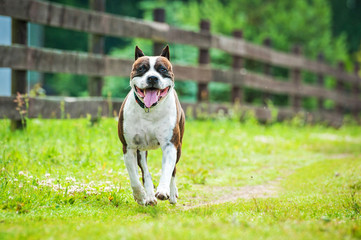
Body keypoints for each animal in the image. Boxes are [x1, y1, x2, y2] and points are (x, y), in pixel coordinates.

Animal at [118, 46, 184, 205]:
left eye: (163, 69)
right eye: (142, 68)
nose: (152, 78)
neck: (149, 110)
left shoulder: (170, 145)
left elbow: (167, 170)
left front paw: (163, 191)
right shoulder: (129, 147)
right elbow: (134, 177)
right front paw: (140, 195)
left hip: (178, 147)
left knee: (173, 170)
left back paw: (172, 194)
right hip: (141, 150)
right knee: (145, 172)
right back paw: (148, 196)